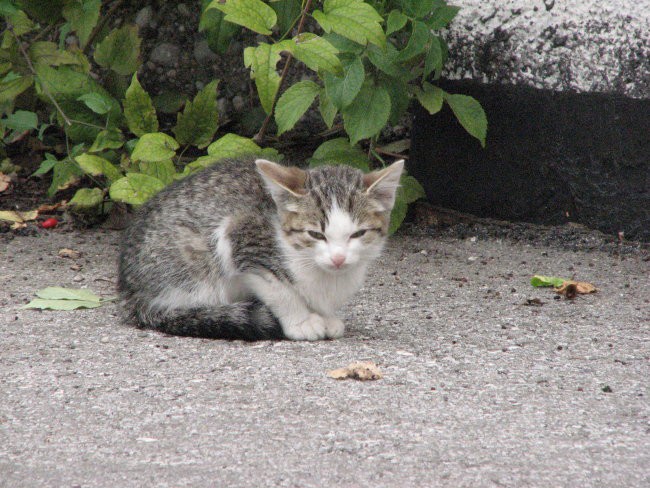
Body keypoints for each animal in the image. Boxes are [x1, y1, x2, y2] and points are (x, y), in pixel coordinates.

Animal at [116, 156, 400, 340]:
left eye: (358, 234)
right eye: (315, 234)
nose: (339, 259)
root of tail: (131, 292)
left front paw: (324, 314)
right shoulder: (239, 236)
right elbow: (278, 288)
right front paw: (301, 320)